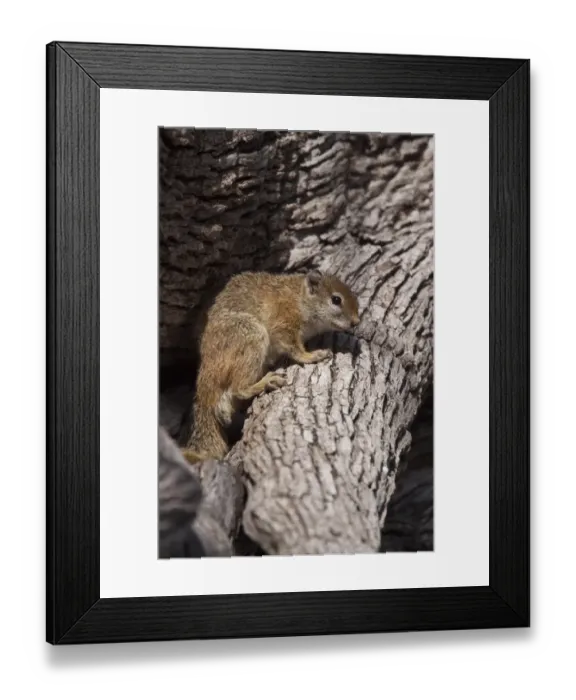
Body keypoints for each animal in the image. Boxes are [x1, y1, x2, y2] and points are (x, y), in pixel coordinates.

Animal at [181, 270, 360, 465]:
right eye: (336, 300)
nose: (356, 322)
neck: (300, 297)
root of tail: (206, 373)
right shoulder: (283, 320)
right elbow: (293, 347)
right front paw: (311, 356)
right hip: (250, 336)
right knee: (238, 389)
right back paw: (265, 382)